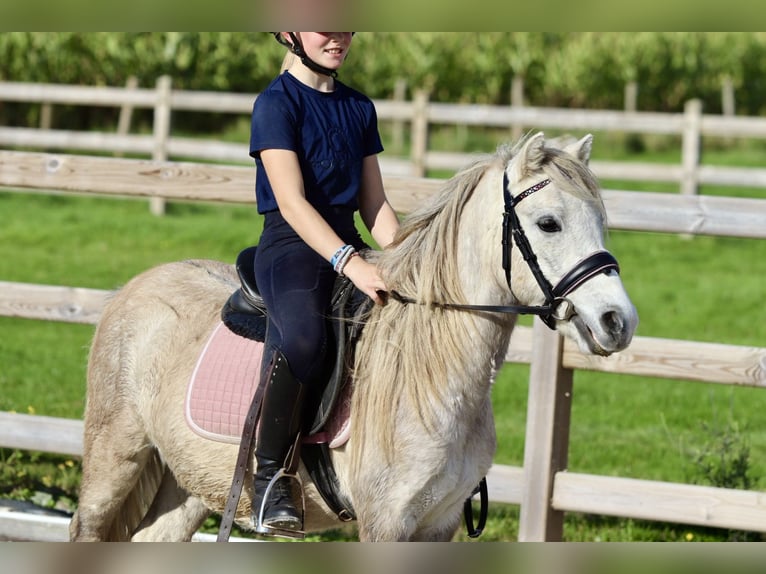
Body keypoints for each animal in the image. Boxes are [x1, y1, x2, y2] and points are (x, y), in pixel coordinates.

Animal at [72, 133, 640, 544]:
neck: (430, 372)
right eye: (548, 223)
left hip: (193, 481)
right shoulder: (385, 524)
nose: (619, 321)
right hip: (115, 460)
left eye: (601, 222)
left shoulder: (438, 524)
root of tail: (134, 287)